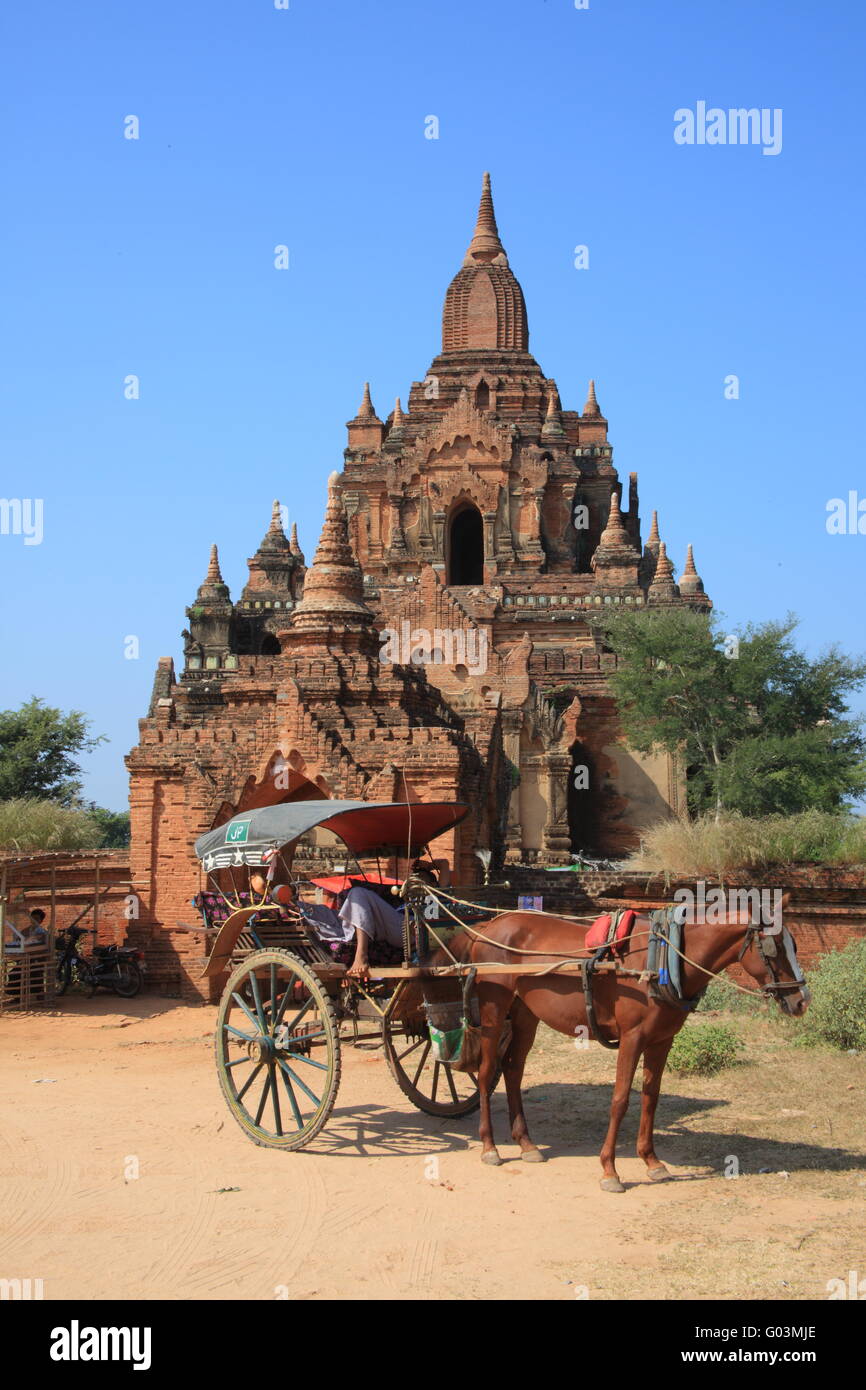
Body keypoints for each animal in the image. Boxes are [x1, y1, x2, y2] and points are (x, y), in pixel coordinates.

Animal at [433, 900, 811, 1195]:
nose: (802, 1001)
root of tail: (488, 925)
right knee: (486, 1072)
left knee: (513, 1070)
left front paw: (652, 1161)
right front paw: (610, 1170)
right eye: (774, 947)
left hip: (525, 1012)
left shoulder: (662, 1040)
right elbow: (620, 1100)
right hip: (494, 1009)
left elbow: (651, 1097)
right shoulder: (633, 1037)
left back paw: (526, 1144)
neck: (665, 959)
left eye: (794, 943)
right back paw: (490, 1146)